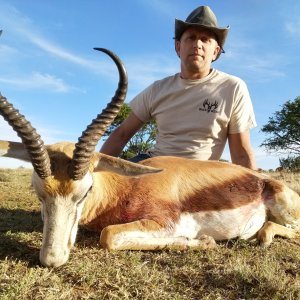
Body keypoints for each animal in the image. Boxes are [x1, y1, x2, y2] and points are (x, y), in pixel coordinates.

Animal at [0, 48, 300, 268]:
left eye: (85, 192)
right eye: (38, 193)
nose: (52, 259)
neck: (126, 187)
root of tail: (263, 180)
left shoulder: (165, 222)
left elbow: (108, 235)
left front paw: (203, 242)